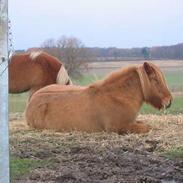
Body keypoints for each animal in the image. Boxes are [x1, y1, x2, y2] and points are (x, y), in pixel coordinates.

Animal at [25, 62, 173, 134]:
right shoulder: (119, 127)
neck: (118, 97)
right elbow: (145, 128)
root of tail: (32, 101)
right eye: (155, 80)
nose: (169, 101)